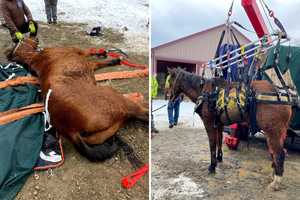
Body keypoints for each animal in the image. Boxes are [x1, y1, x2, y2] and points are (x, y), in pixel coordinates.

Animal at [6, 38, 148, 163]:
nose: (34, 38)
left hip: (103, 132)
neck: (37, 57)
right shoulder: (82, 55)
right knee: (141, 113)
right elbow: (90, 54)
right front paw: (113, 58)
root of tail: (70, 129)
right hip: (115, 98)